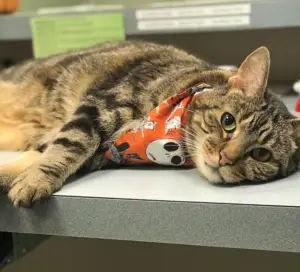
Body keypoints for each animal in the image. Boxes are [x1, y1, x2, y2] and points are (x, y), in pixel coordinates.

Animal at [0, 40, 298, 207]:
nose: (225, 158)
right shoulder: (100, 107)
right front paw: (37, 179)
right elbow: (69, 146)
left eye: (260, 154)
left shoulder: (97, 153)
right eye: (228, 122)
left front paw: (25, 176)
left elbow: (48, 154)